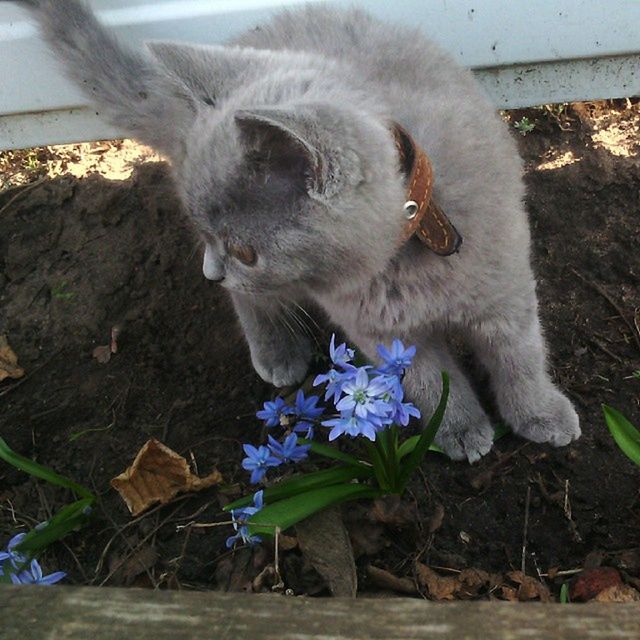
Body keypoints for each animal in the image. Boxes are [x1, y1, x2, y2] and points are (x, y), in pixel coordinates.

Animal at [8, 0, 580, 460]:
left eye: (244, 250)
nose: (213, 270)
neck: (410, 245)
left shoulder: (505, 290)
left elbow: (520, 356)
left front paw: (541, 414)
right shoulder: (379, 332)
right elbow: (427, 378)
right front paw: (457, 428)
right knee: (252, 300)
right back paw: (276, 353)